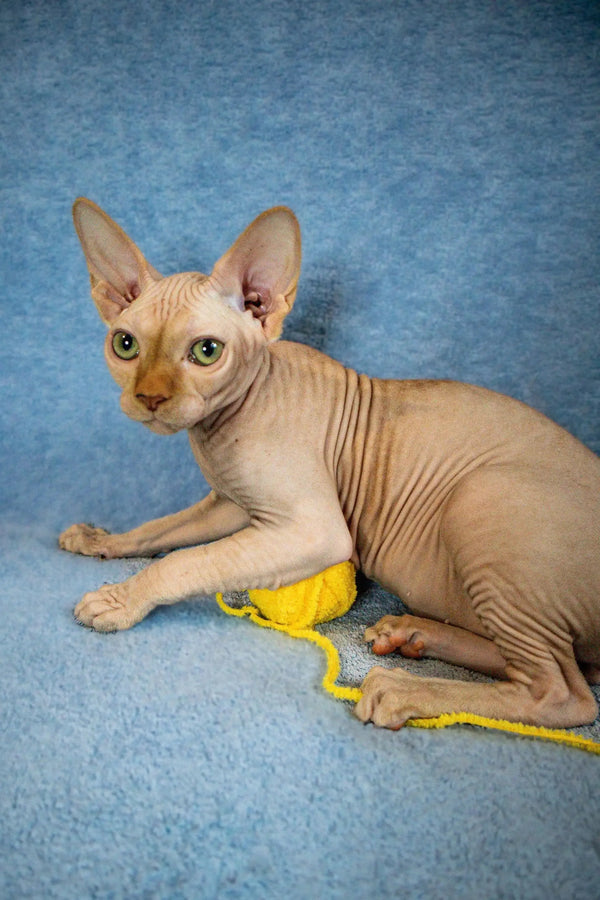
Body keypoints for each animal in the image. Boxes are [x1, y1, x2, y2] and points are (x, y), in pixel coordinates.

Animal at [59, 199, 600, 732]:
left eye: (206, 351)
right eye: (125, 345)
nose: (149, 397)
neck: (223, 424)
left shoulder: (313, 530)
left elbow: (185, 560)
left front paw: (120, 599)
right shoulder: (230, 505)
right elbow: (161, 530)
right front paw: (103, 541)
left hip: (482, 495)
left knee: (565, 694)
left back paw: (405, 688)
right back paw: (412, 635)